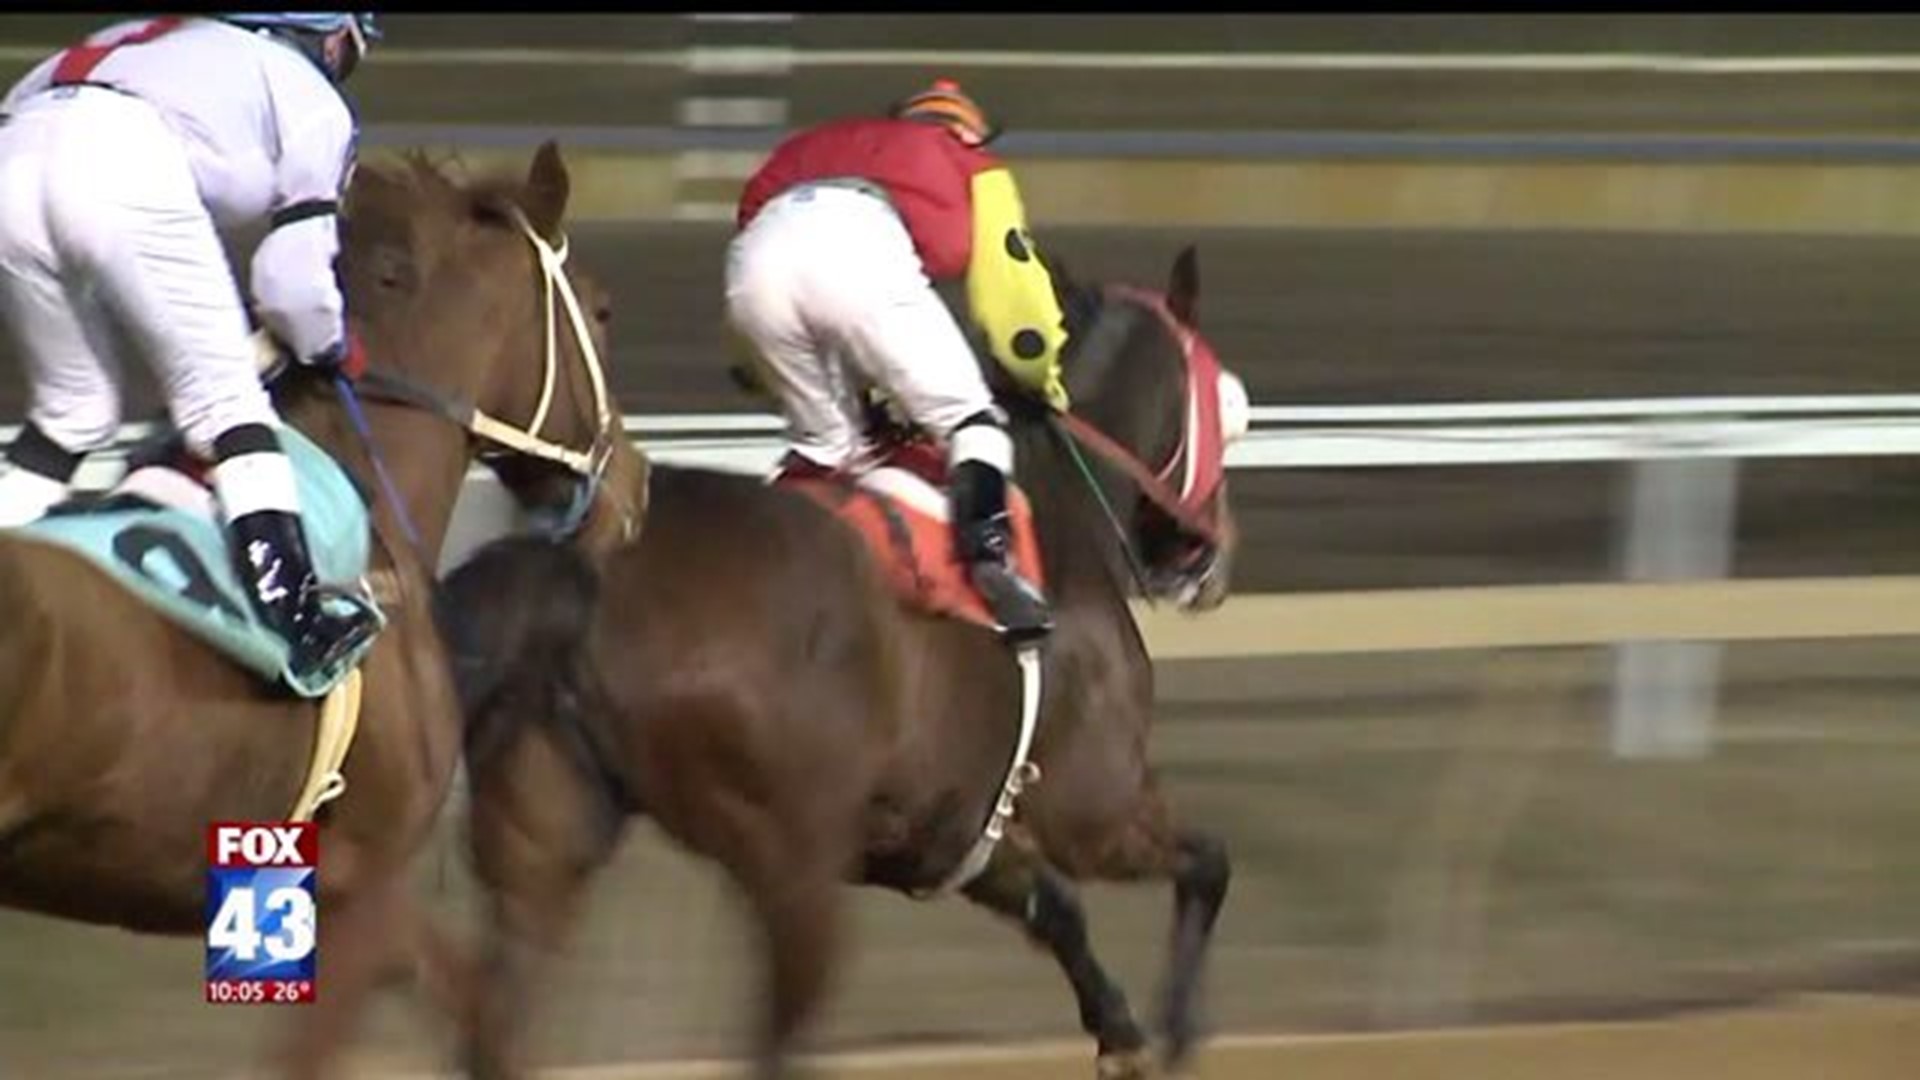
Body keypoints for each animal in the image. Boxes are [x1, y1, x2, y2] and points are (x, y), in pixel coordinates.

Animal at [439, 245, 1236, 1076]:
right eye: (1224, 402)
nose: (1212, 557)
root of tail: (587, 575)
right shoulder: (1095, 813)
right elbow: (1208, 862)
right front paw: (1176, 1026)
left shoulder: (957, 838)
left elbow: (1058, 911)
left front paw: (1122, 1032)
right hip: (794, 867)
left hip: (543, 835)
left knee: (497, 1017)